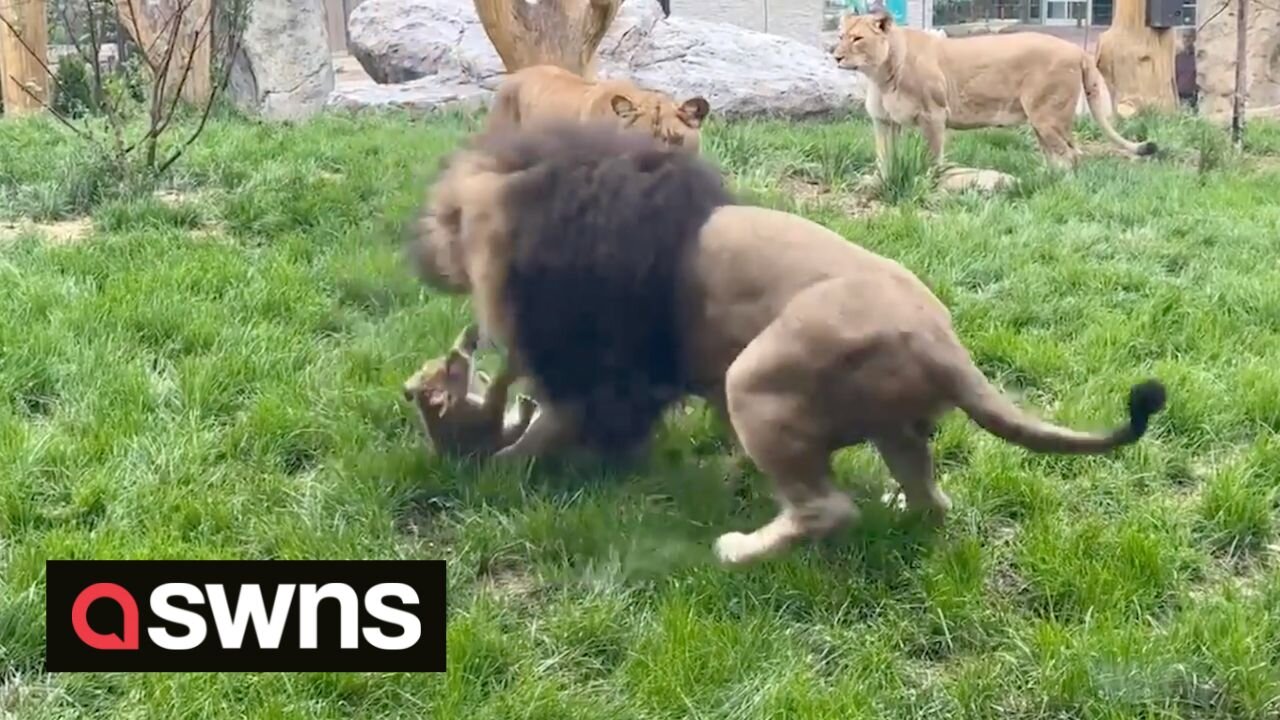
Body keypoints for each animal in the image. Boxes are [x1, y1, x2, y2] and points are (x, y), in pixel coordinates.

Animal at [404, 120, 1167, 563]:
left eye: (444, 217)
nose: (417, 251)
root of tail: (945, 345)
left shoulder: (593, 376)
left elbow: (534, 437)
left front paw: (489, 475)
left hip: (759, 378)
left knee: (827, 508)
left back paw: (739, 548)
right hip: (891, 424)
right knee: (931, 500)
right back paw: (902, 511)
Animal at [834, 9, 1157, 171]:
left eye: (857, 38)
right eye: (840, 36)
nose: (834, 55)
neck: (879, 75)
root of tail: (1078, 51)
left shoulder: (933, 115)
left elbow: (933, 156)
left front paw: (932, 181)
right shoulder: (884, 122)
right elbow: (884, 158)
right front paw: (881, 180)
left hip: (1048, 117)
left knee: (1072, 154)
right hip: (1042, 122)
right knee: (1059, 154)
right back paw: (1045, 179)